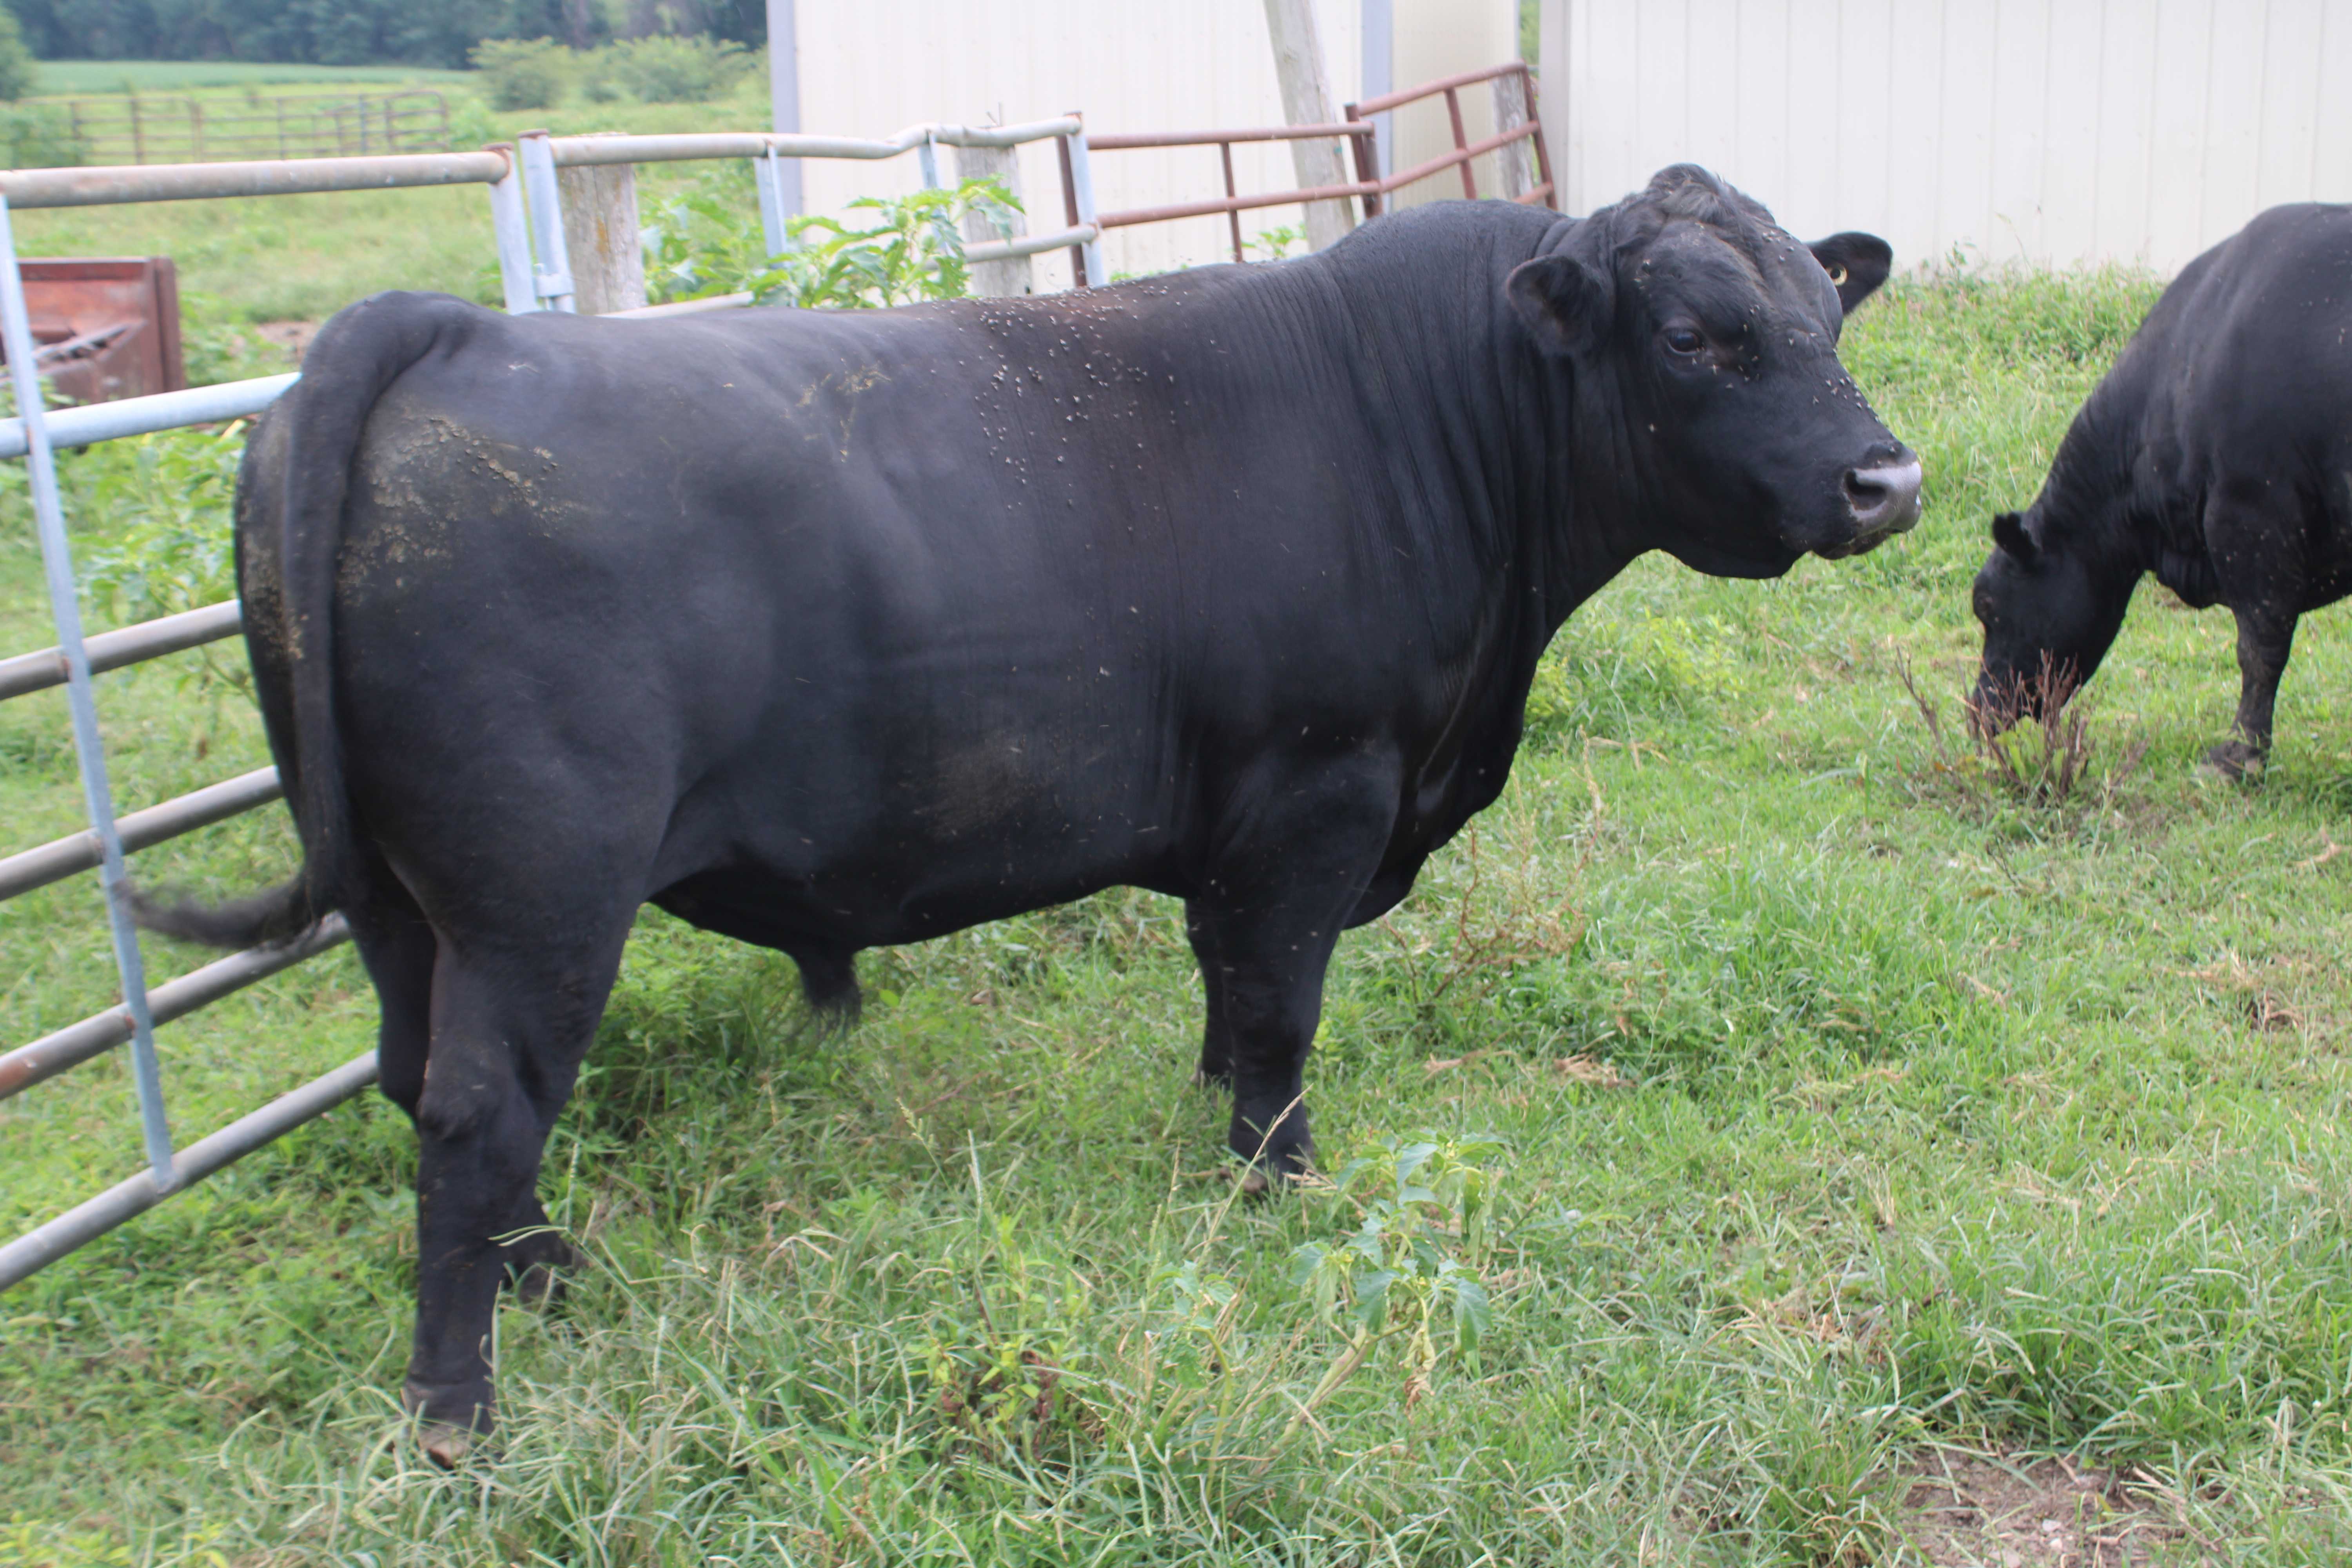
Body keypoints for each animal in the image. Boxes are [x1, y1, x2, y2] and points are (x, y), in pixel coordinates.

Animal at [138, 165, 1920, 1461]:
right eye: (1693, 338)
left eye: (1825, 314)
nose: (1886, 481)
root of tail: (441, 329)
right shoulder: (1320, 785)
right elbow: (1281, 1008)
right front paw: (1281, 1186)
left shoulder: (1246, 825)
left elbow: (1226, 987)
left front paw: (1211, 1134)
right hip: (538, 894)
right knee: (477, 1107)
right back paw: (461, 1411)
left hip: (401, 903)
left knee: (417, 1077)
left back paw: (550, 1273)